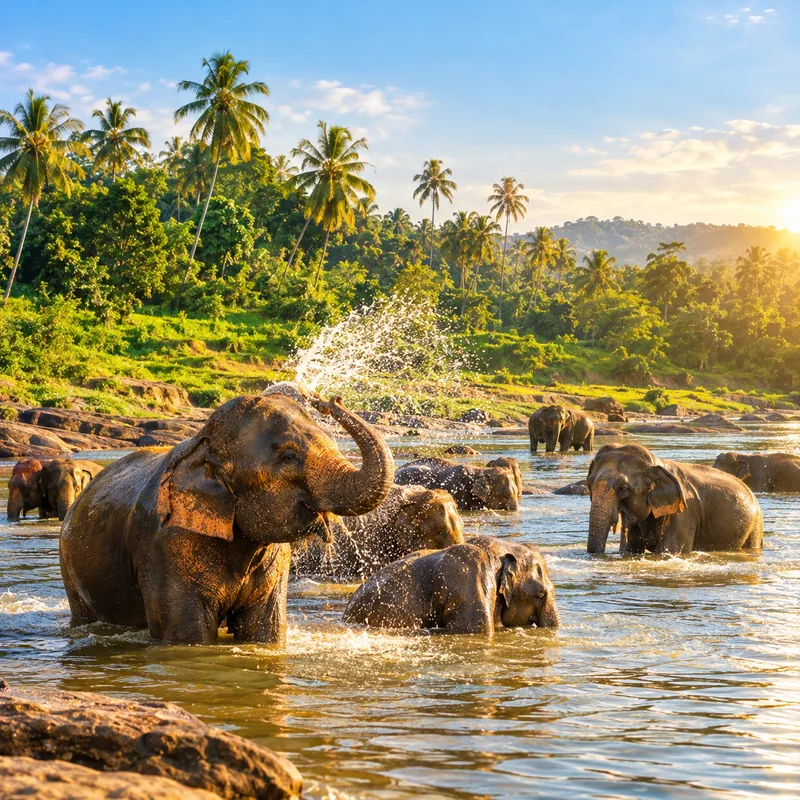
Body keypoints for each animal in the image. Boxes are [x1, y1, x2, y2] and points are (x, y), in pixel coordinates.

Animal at [59, 394, 394, 644]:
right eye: (289, 457)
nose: (327, 399)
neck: (203, 444)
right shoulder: (163, 547)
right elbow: (187, 634)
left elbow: (264, 629)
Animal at [586, 442, 763, 555]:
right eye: (589, 483)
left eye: (623, 488)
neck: (655, 462)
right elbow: (630, 549)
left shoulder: (684, 513)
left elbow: (671, 551)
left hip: (755, 526)